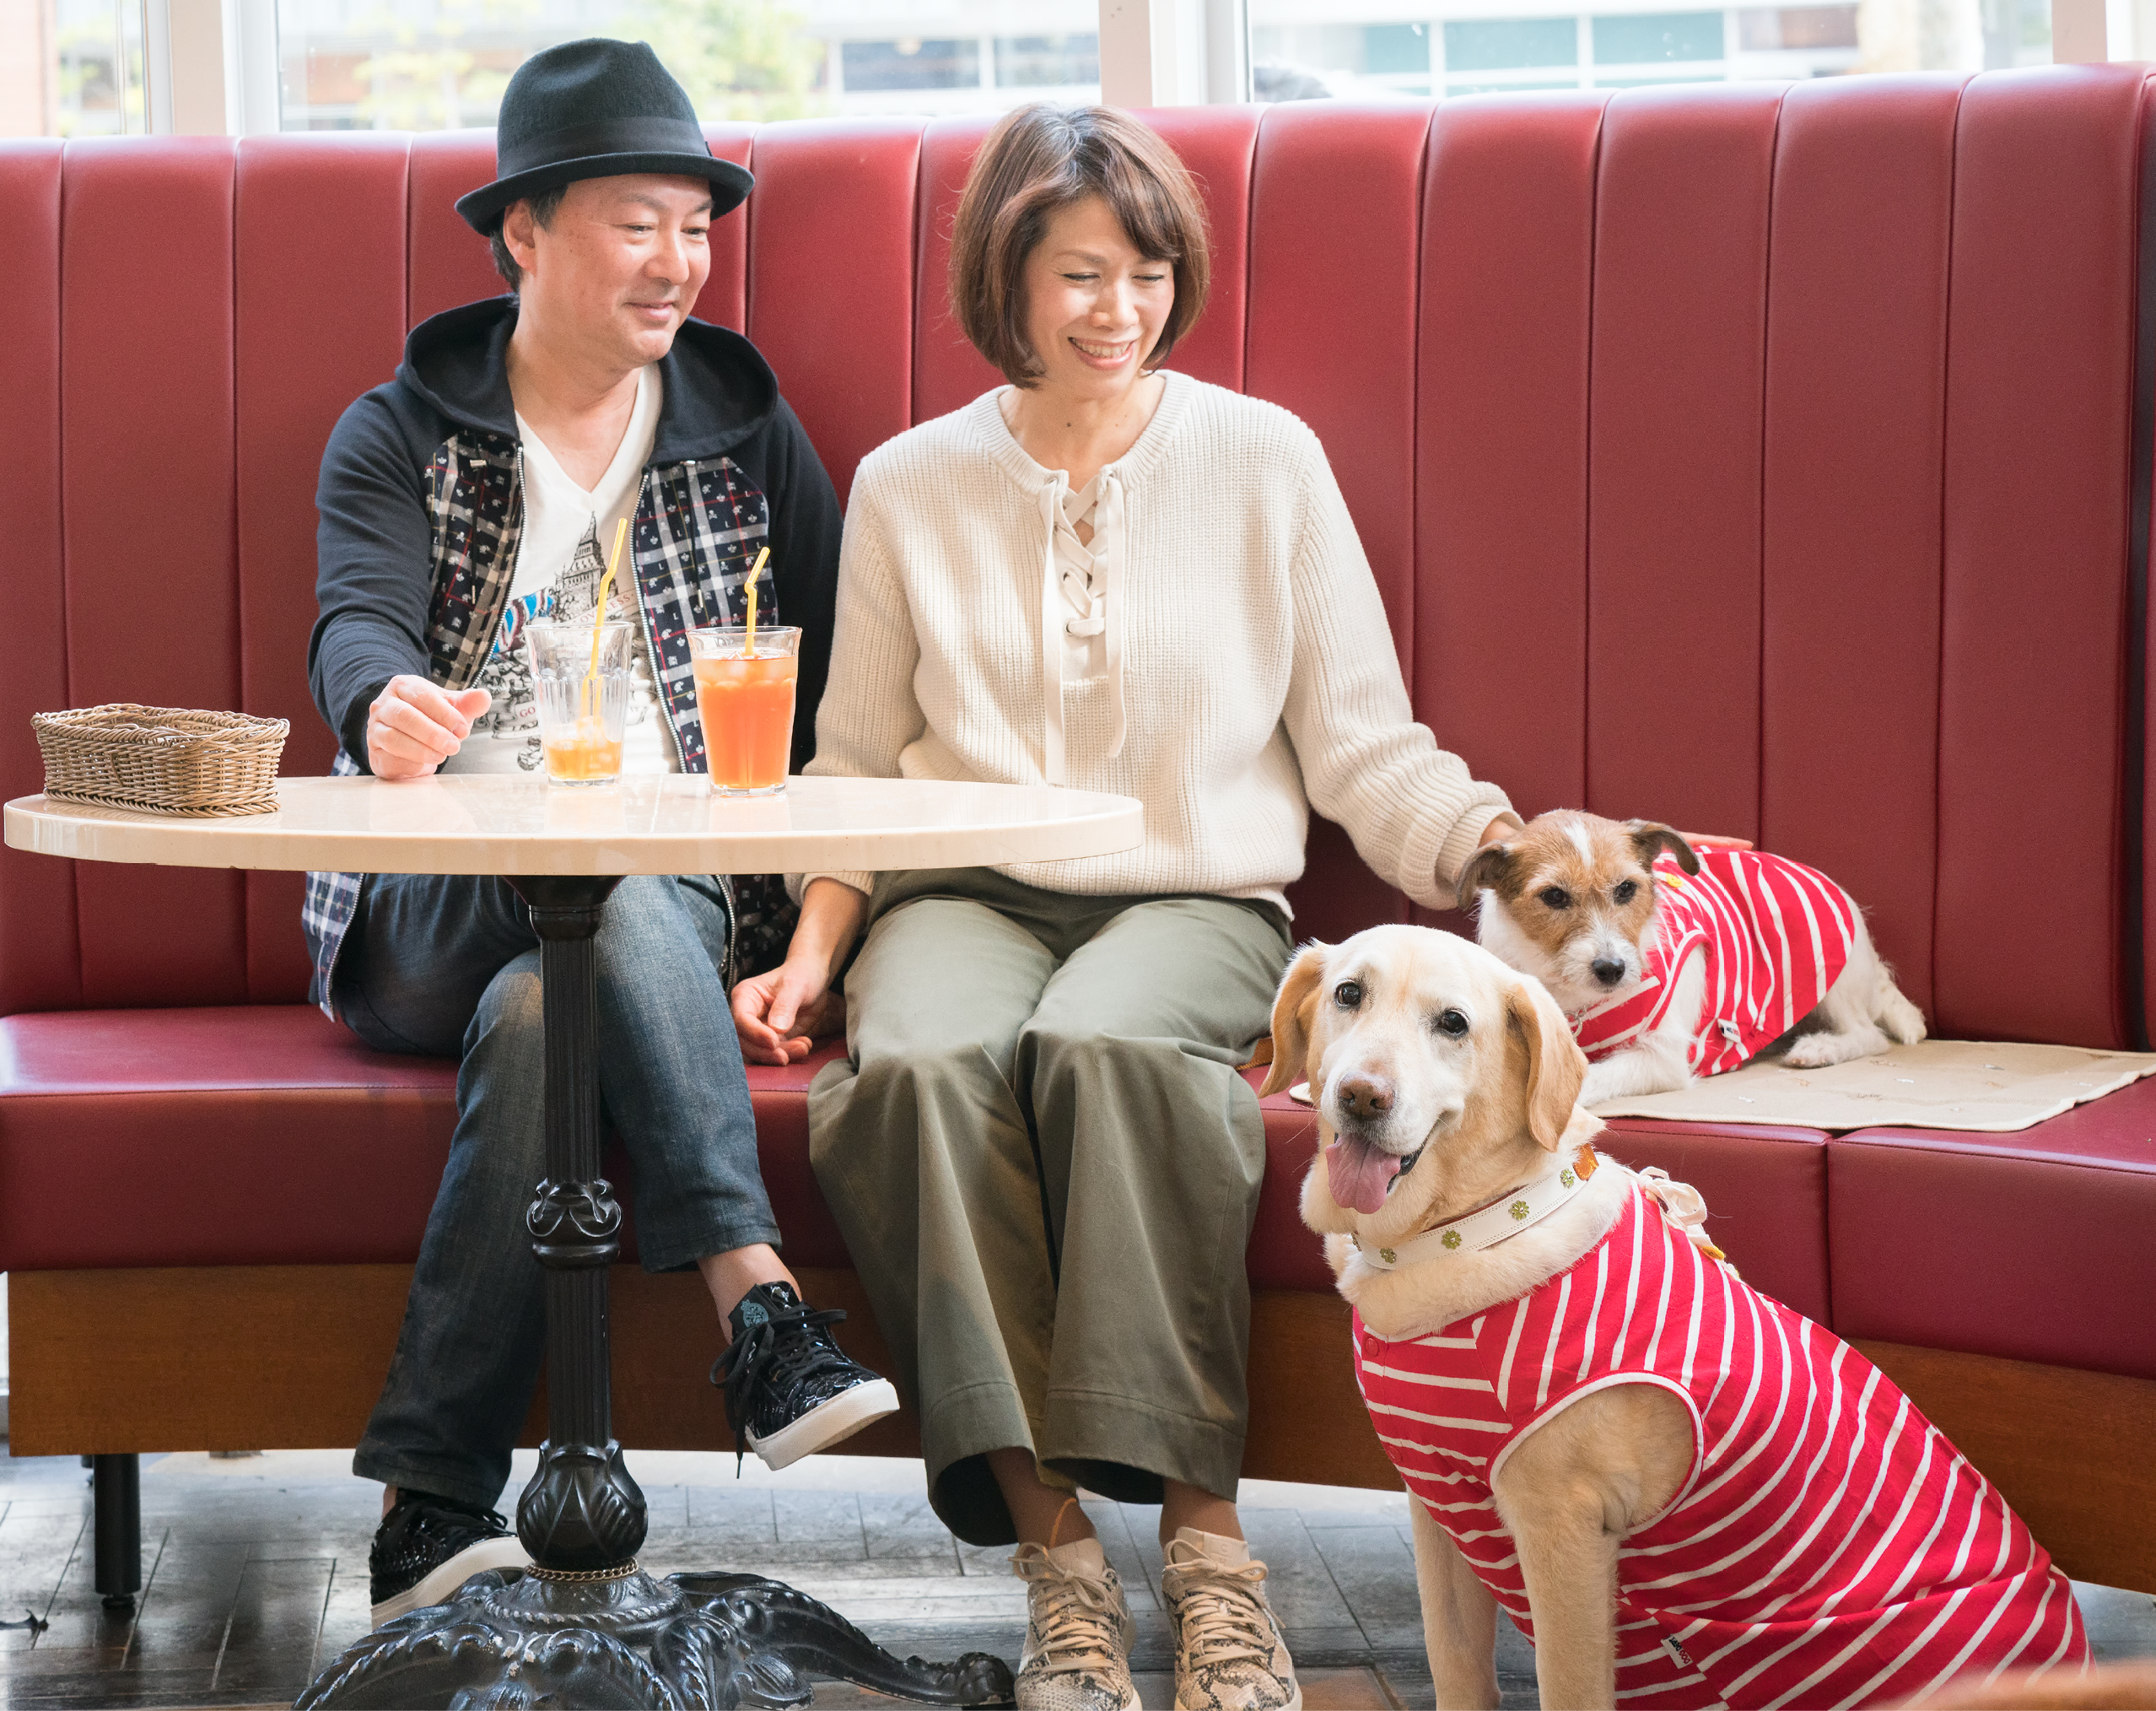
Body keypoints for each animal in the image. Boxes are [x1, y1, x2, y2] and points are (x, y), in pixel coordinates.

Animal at [1263, 926, 2088, 1710]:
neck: (1472, 1223)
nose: (1361, 1096)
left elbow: (1568, 1690)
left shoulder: (1562, 1532)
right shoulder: (1438, 1512)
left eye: (1454, 1023)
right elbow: (1457, 1670)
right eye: (1348, 994)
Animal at [1457, 811, 1927, 1107]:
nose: (1612, 970)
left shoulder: (1660, 1059)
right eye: (1554, 896)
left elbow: (1587, 1078)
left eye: (1626, 889)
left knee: (1869, 1035)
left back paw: (1819, 1048)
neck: (1575, 999)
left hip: (1831, 977)